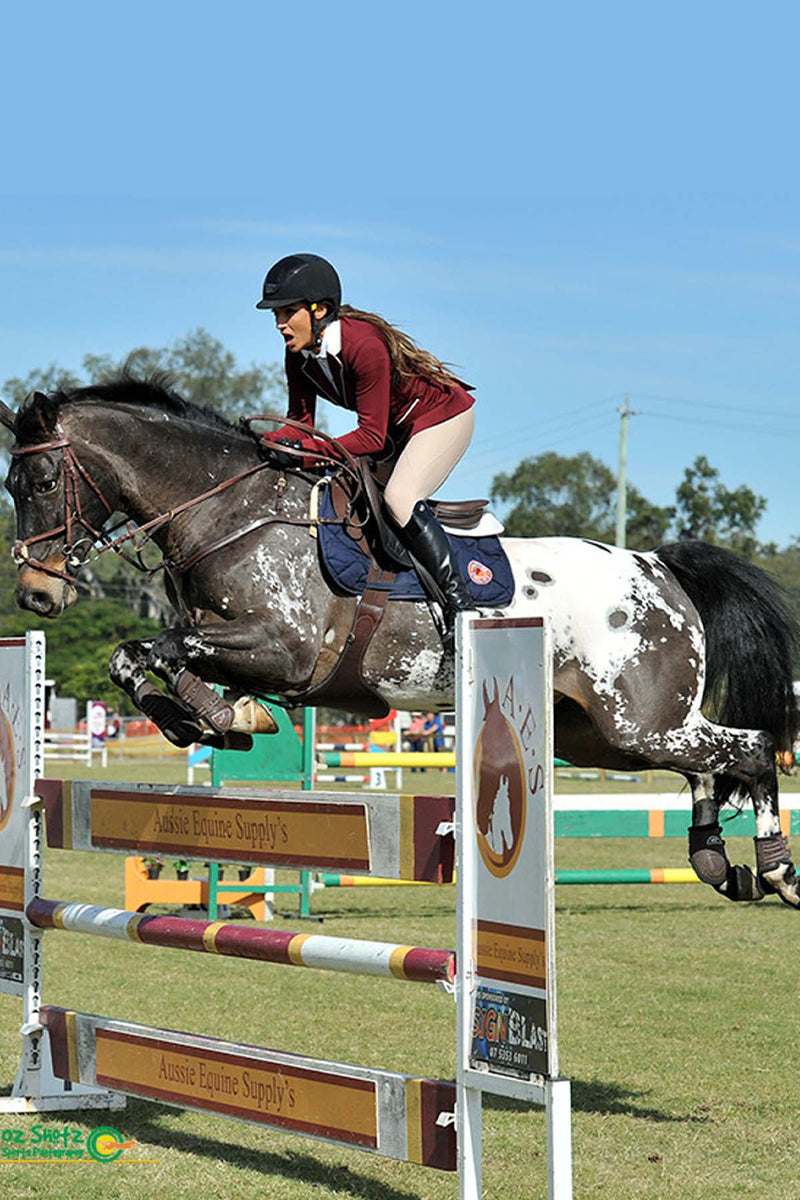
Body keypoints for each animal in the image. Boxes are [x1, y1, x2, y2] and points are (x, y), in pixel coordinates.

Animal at [3, 381, 796, 907]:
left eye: (39, 480)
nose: (36, 597)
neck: (231, 512)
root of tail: (658, 567)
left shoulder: (282, 649)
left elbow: (155, 650)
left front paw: (209, 717)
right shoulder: (244, 650)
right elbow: (141, 657)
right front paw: (216, 718)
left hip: (636, 720)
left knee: (752, 749)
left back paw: (775, 869)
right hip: (602, 734)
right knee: (705, 763)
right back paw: (715, 861)